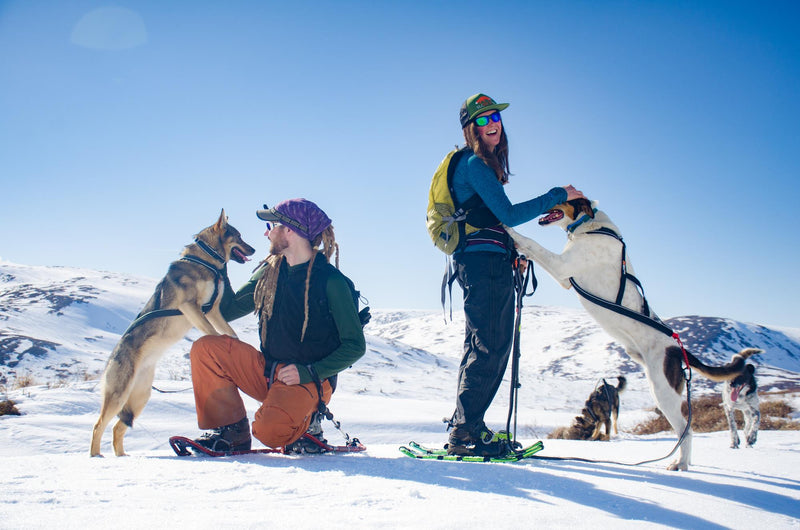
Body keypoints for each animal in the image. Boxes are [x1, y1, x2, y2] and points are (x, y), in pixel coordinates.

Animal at [90, 208, 255, 456]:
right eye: (239, 236)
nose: (253, 250)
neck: (205, 261)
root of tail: (112, 357)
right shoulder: (191, 306)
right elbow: (211, 332)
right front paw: (223, 344)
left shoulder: (214, 310)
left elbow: (228, 330)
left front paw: (235, 343)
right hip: (119, 395)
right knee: (98, 426)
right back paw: (95, 456)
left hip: (139, 399)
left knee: (117, 428)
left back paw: (121, 456)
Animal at [506, 198, 764, 470]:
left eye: (559, 197)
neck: (588, 225)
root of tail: (677, 350)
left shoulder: (562, 267)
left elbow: (532, 243)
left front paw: (509, 230)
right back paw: (683, 462)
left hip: (662, 392)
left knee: (687, 429)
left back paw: (681, 464)